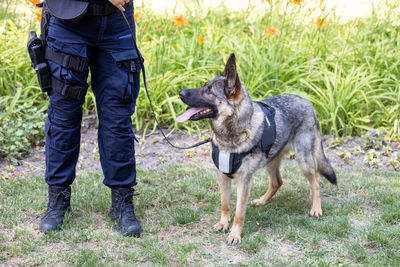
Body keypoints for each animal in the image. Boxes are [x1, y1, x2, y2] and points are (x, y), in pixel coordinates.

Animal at [177, 53, 336, 246]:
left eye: (209, 90)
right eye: (204, 86)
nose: (180, 92)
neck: (232, 135)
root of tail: (308, 102)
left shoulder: (244, 180)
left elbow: (239, 212)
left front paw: (235, 234)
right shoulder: (222, 176)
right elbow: (225, 204)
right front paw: (223, 224)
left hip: (303, 160)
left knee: (316, 183)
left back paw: (316, 208)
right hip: (271, 161)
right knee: (277, 182)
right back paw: (262, 201)